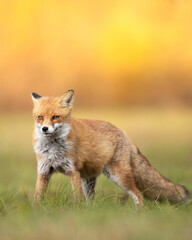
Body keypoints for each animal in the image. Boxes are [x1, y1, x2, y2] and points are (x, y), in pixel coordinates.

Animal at [31, 91, 190, 207]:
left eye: (55, 117)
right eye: (40, 117)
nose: (45, 129)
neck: (53, 149)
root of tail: (123, 132)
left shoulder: (72, 171)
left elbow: (77, 197)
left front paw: (76, 211)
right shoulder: (43, 171)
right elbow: (37, 196)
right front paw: (36, 211)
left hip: (117, 176)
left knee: (138, 195)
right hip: (88, 179)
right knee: (91, 201)